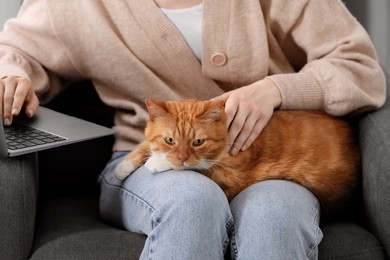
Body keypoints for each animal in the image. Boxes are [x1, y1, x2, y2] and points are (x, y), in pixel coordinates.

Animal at [115, 98, 360, 210]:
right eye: (170, 140)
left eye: (198, 142)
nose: (181, 157)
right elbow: (145, 144)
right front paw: (123, 166)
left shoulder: (230, 179)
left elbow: (199, 168)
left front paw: (158, 162)